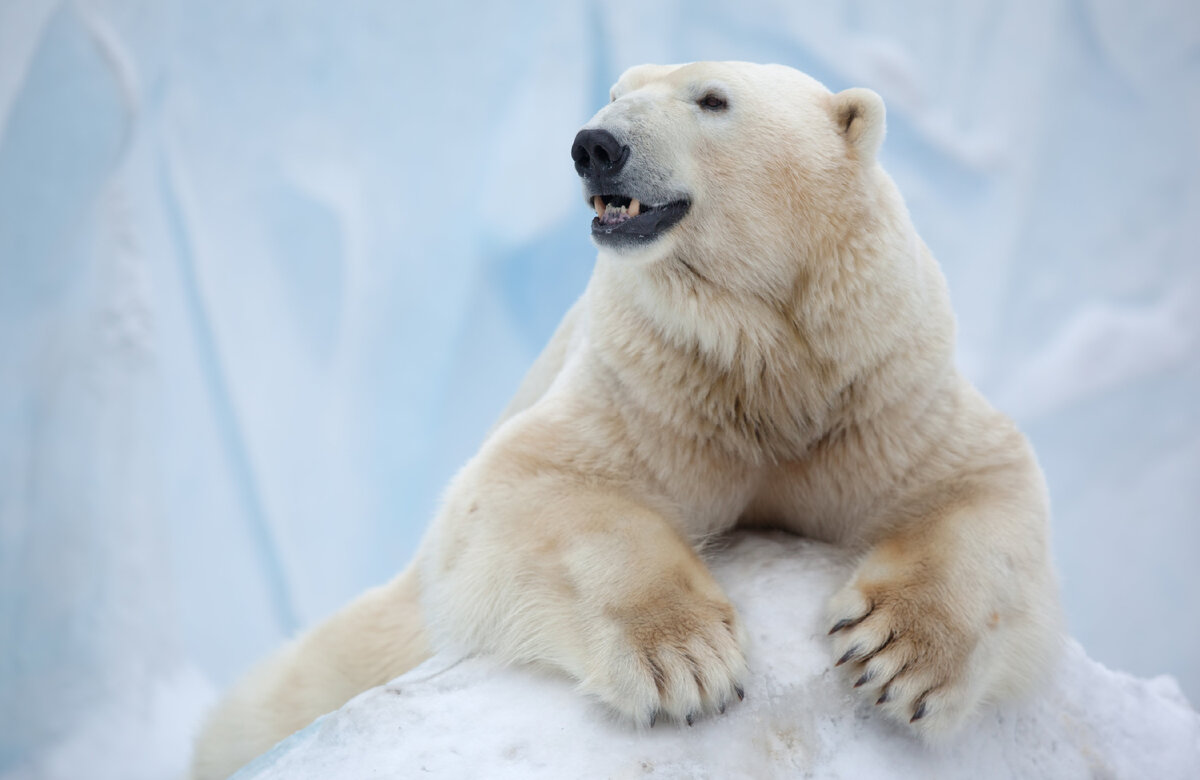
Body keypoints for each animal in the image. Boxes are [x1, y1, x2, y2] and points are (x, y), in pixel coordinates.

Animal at [189, 62, 1060, 777]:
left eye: (713, 99)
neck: (763, 356)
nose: (594, 145)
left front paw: (897, 656)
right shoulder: (651, 384)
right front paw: (685, 659)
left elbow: (983, 483)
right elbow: (536, 484)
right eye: (615, 91)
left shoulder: (878, 388)